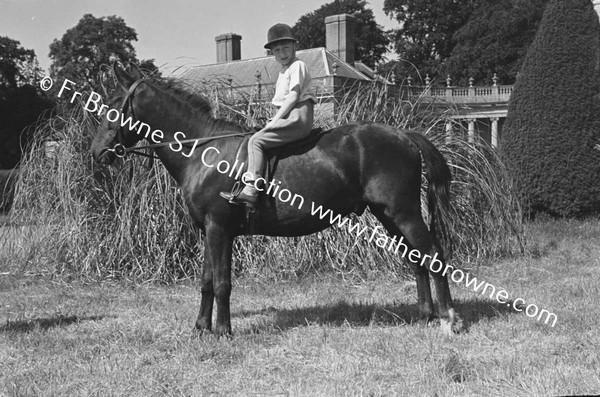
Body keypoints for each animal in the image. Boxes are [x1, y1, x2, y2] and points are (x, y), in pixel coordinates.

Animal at [91, 64, 462, 334]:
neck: (203, 151)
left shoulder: (219, 229)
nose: (97, 153)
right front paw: (200, 328)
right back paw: (425, 314)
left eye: (112, 106)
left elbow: (222, 282)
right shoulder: (208, 231)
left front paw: (223, 331)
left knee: (433, 254)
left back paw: (448, 317)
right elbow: (207, 281)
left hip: (403, 211)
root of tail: (404, 135)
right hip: (388, 214)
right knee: (416, 257)